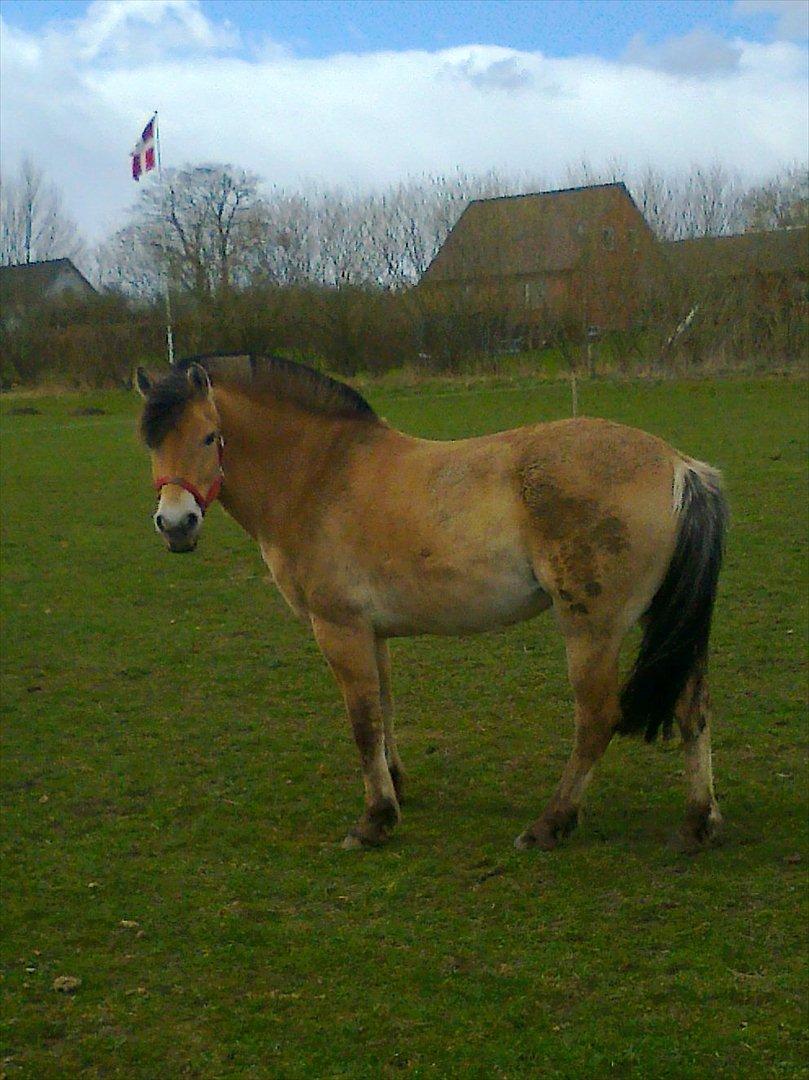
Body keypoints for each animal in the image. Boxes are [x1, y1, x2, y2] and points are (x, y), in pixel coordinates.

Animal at [135, 354, 730, 851]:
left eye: (210, 436)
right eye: (151, 443)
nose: (176, 524)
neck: (319, 475)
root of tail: (678, 466)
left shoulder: (339, 628)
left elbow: (362, 721)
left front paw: (375, 820)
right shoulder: (371, 632)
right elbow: (383, 710)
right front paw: (395, 788)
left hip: (593, 630)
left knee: (597, 717)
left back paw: (551, 823)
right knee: (692, 707)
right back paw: (697, 822)